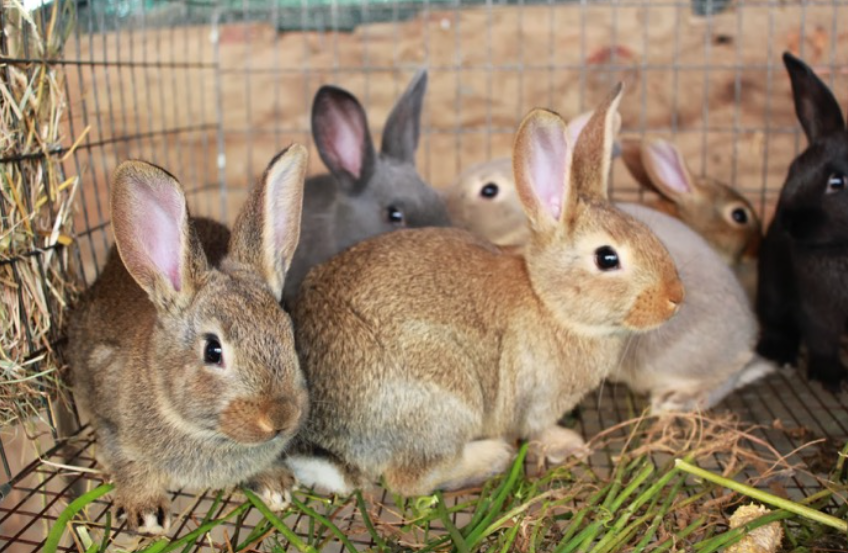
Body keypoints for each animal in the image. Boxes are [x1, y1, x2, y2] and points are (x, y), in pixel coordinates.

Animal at [65, 145, 311, 535]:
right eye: (213, 351)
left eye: (288, 332)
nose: (281, 416)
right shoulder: (106, 404)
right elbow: (128, 462)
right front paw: (146, 511)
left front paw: (275, 484)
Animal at [756, 52, 848, 392]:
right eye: (794, 168)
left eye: (837, 182)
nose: (787, 221)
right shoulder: (816, 307)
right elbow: (822, 340)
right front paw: (830, 378)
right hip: (771, 285)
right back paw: (777, 352)